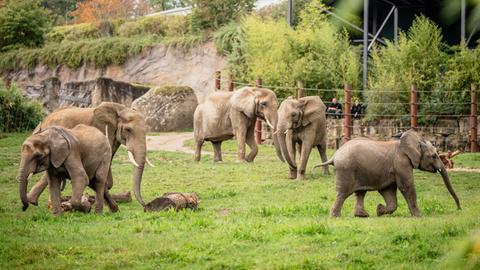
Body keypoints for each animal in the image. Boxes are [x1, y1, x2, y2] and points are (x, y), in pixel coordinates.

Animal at [26, 102, 154, 209]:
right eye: (128, 130)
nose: (145, 205)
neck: (120, 108)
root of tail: (44, 120)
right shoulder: (101, 129)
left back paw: (34, 201)